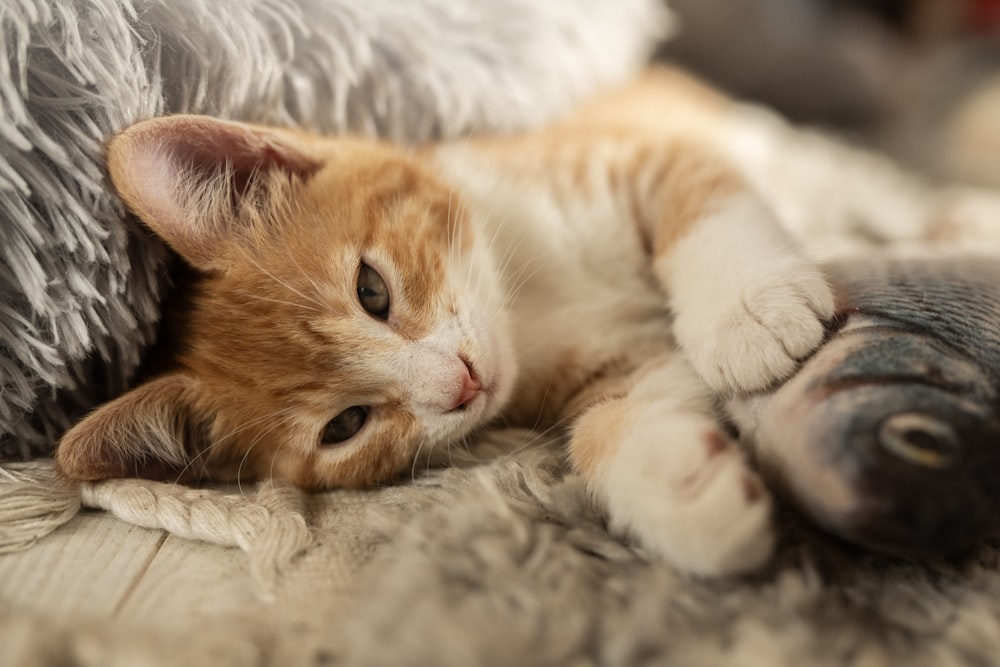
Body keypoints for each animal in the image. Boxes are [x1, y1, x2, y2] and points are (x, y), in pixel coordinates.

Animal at [56, 69, 836, 580]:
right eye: (345, 426)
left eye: (371, 290)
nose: (459, 383)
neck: (526, 299)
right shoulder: (601, 366)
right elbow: (615, 416)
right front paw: (682, 491)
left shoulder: (632, 154)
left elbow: (702, 201)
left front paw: (747, 309)